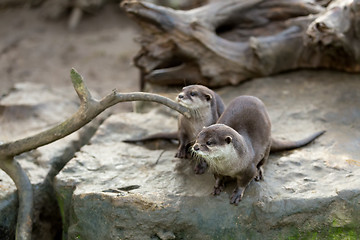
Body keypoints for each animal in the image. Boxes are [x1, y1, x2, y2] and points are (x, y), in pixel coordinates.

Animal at [193, 96, 324, 205]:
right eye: (198, 137)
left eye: (209, 142)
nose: (195, 147)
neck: (228, 166)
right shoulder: (215, 167)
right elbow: (218, 178)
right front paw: (217, 186)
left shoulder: (248, 169)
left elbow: (243, 182)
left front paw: (237, 194)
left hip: (267, 143)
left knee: (263, 160)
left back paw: (259, 173)